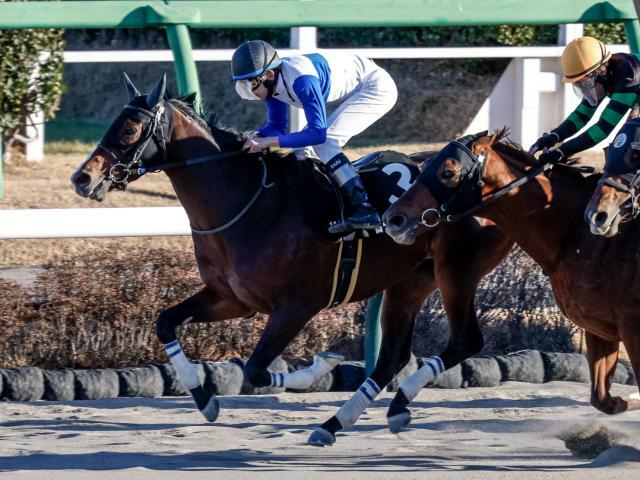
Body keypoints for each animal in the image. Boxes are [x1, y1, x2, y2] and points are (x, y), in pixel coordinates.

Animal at [70, 75, 512, 446]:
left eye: (130, 128)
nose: (82, 178)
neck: (249, 204)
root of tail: (498, 178)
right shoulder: (232, 299)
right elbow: (165, 322)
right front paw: (203, 398)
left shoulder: (297, 306)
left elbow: (255, 369)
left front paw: (322, 365)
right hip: (409, 280)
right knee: (392, 357)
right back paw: (358, 418)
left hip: (456, 271)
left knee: (465, 341)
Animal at [382, 131, 640, 416]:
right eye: (426, 165)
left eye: (448, 172)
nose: (394, 219)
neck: (576, 234)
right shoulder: (597, 326)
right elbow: (604, 400)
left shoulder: (631, 326)